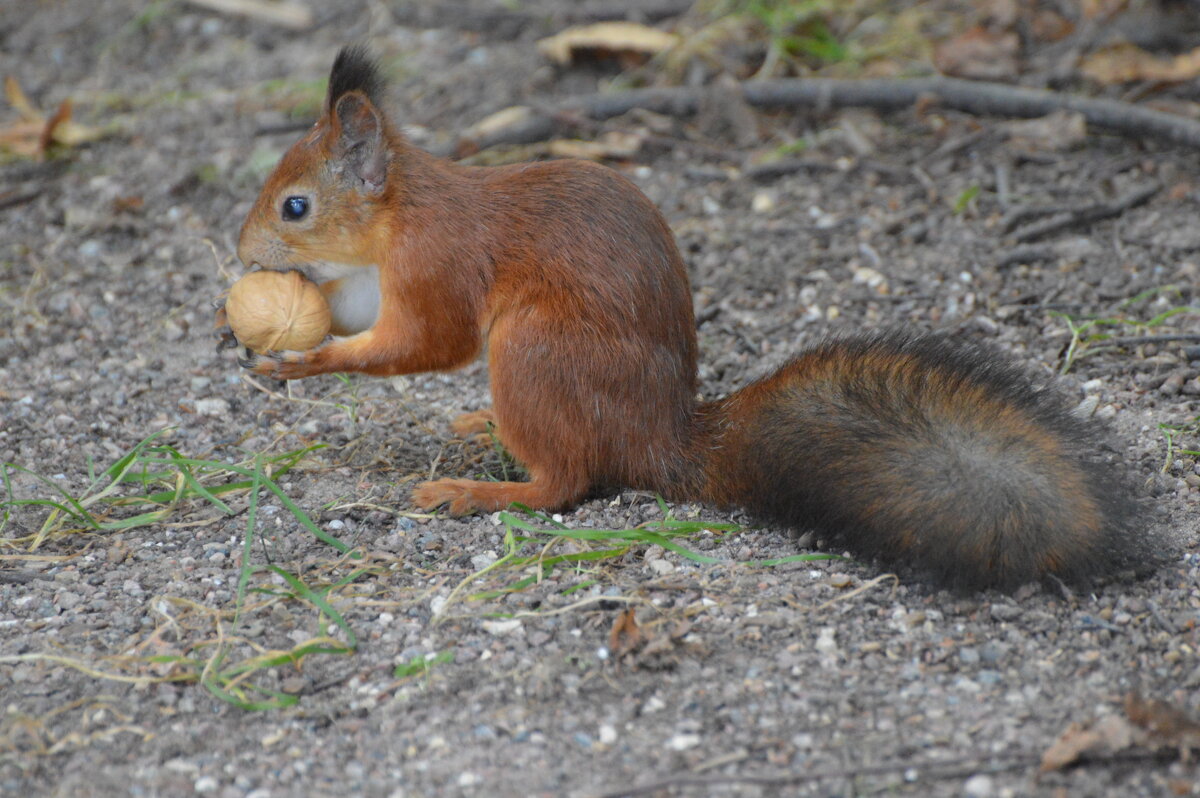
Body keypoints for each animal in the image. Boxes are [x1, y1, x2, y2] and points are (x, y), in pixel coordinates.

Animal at [225, 46, 1142, 588]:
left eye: (296, 206)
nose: (241, 251)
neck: (401, 213)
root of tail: (663, 439)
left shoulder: (438, 264)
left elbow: (424, 342)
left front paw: (302, 361)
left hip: (534, 351)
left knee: (567, 483)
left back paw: (481, 489)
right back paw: (478, 427)